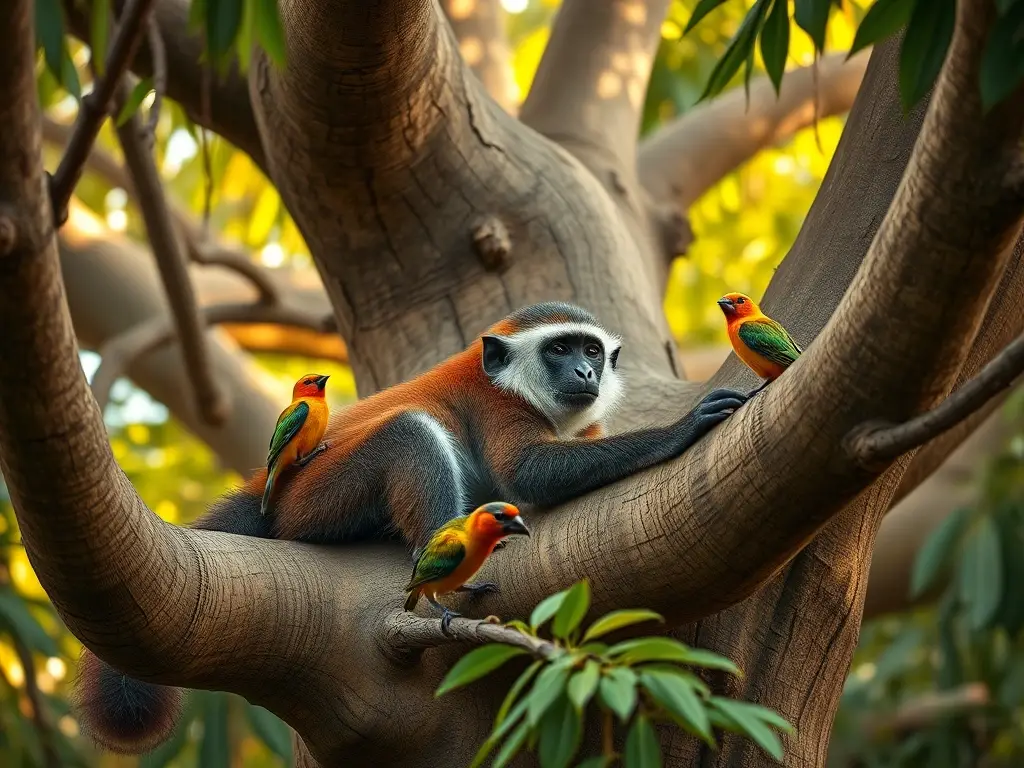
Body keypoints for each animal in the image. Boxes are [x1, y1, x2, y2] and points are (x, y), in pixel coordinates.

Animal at [74, 302, 748, 754]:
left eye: (590, 352)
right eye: (559, 350)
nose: (585, 374)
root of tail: (271, 491)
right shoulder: (498, 404)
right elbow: (528, 472)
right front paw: (680, 428)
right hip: (318, 501)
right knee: (412, 430)